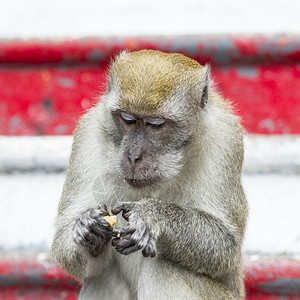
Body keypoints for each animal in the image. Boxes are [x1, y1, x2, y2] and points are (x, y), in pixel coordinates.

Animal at [52, 50, 248, 298]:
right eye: (127, 119)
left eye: (155, 124)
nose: (134, 156)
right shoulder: (88, 133)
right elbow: (63, 242)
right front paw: (88, 228)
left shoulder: (225, 137)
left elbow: (225, 245)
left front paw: (151, 216)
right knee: (104, 275)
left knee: (162, 267)